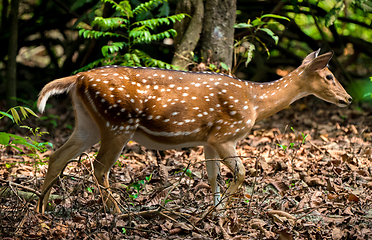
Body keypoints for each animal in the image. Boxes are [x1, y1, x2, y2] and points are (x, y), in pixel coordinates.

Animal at [35, 48, 352, 212]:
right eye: (329, 76)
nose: (348, 98)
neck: (254, 102)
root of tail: (78, 78)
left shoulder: (209, 139)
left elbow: (212, 177)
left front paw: (214, 212)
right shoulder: (226, 134)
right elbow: (242, 173)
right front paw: (221, 212)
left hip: (88, 123)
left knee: (57, 156)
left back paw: (42, 210)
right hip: (118, 122)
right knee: (99, 168)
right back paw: (117, 212)